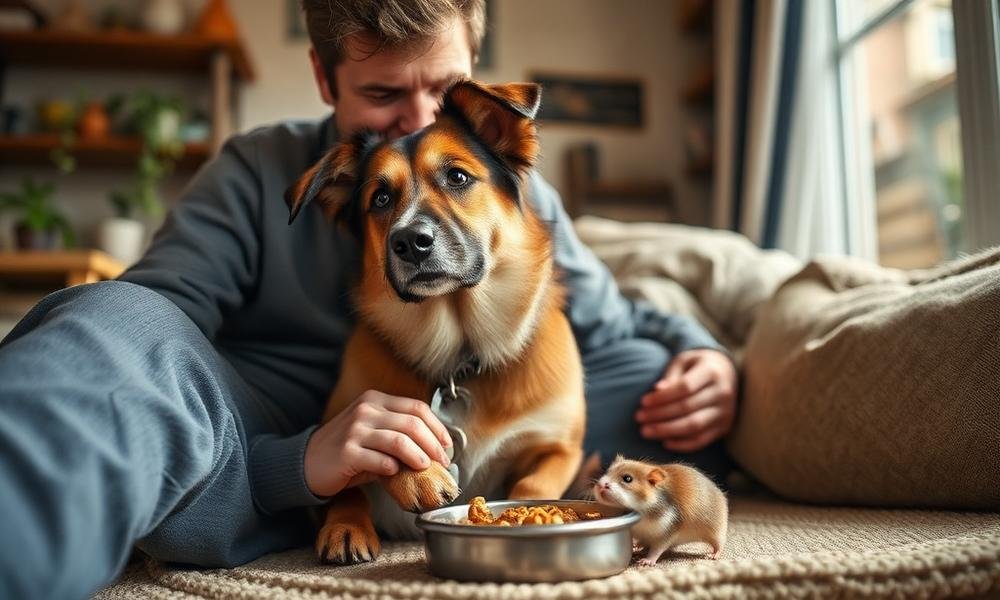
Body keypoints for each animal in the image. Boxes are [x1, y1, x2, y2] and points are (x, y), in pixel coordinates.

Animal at [593, 455, 728, 566]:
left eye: (627, 478)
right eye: (608, 472)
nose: (600, 485)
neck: (642, 510)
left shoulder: (666, 532)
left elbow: (657, 550)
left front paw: (648, 561)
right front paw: (635, 547)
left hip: (715, 531)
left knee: (719, 543)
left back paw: (715, 554)